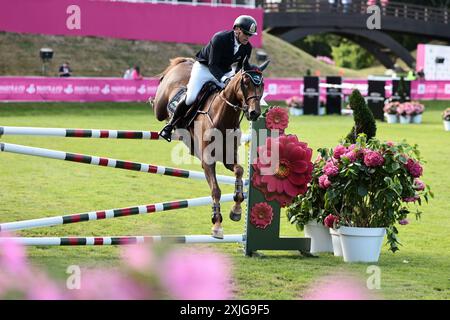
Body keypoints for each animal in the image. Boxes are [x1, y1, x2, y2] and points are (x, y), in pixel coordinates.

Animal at [151, 57, 270, 238]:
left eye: (262, 84)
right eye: (245, 82)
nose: (254, 113)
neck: (223, 117)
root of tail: (184, 62)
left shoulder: (229, 159)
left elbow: (239, 171)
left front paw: (236, 210)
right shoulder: (207, 162)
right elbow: (216, 190)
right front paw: (217, 224)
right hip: (160, 106)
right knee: (160, 107)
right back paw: (166, 123)